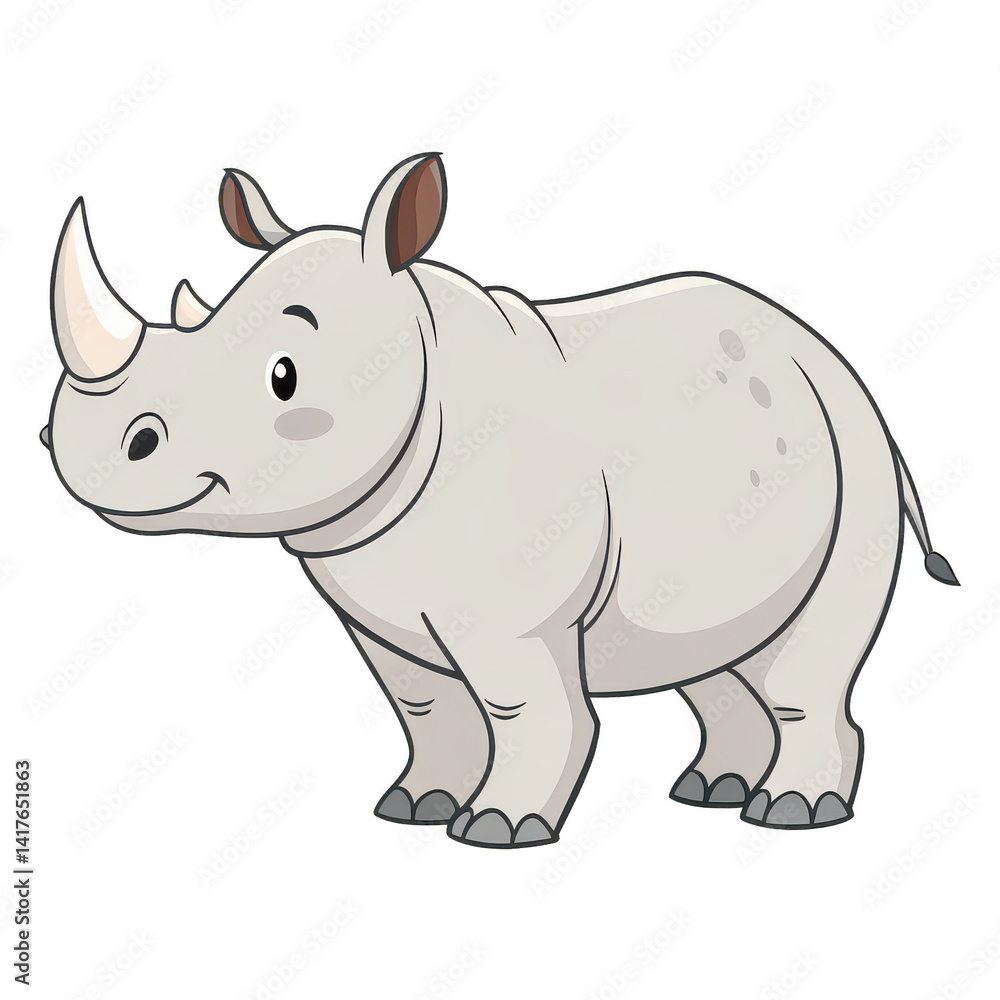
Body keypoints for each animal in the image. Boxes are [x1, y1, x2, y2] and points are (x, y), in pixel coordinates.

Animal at [43, 153, 958, 848]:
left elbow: (523, 706)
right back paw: (711, 791)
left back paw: (791, 814)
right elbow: (424, 706)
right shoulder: (374, 598)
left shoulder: (512, 610)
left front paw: (498, 829)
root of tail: (830, 356)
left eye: (284, 377)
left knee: (808, 658)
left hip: (857, 452)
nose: (87, 446)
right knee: (711, 650)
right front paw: (414, 806)